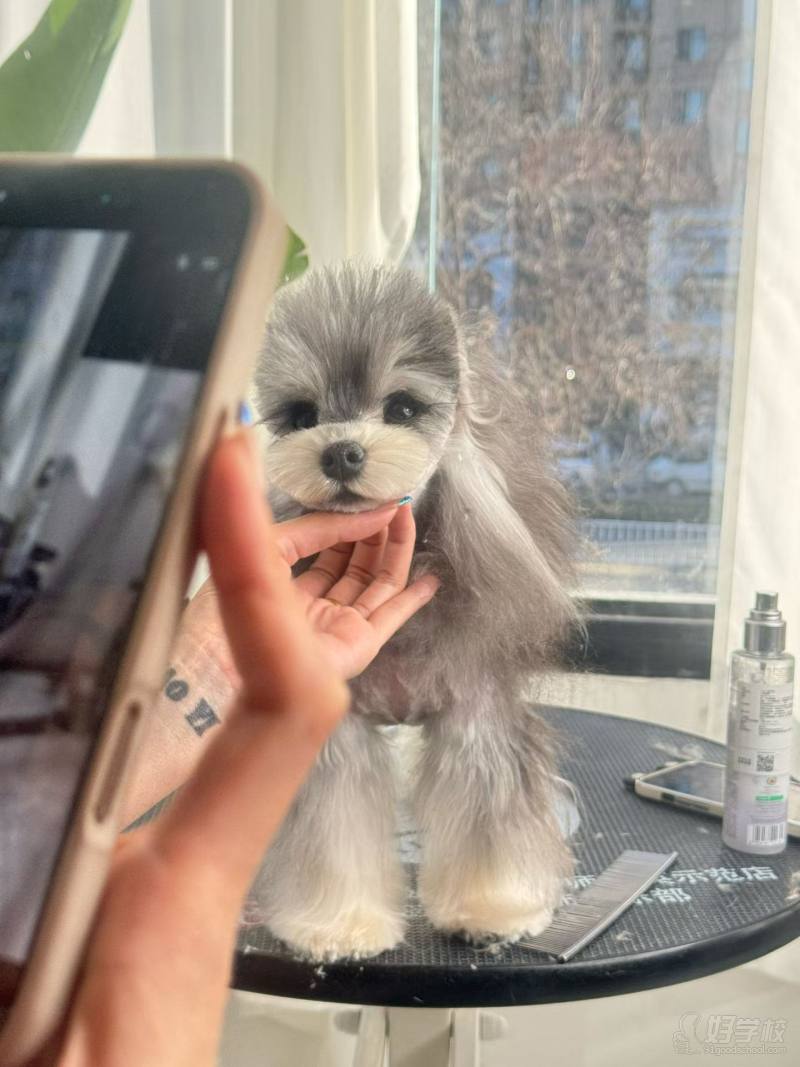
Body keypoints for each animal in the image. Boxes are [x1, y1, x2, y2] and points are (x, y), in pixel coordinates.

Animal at [251, 261, 579, 961]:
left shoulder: (477, 718)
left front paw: (493, 909)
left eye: (402, 407)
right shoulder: (339, 734)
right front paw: (339, 925)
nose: (340, 451)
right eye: (301, 415)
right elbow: (334, 828)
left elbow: (490, 814)